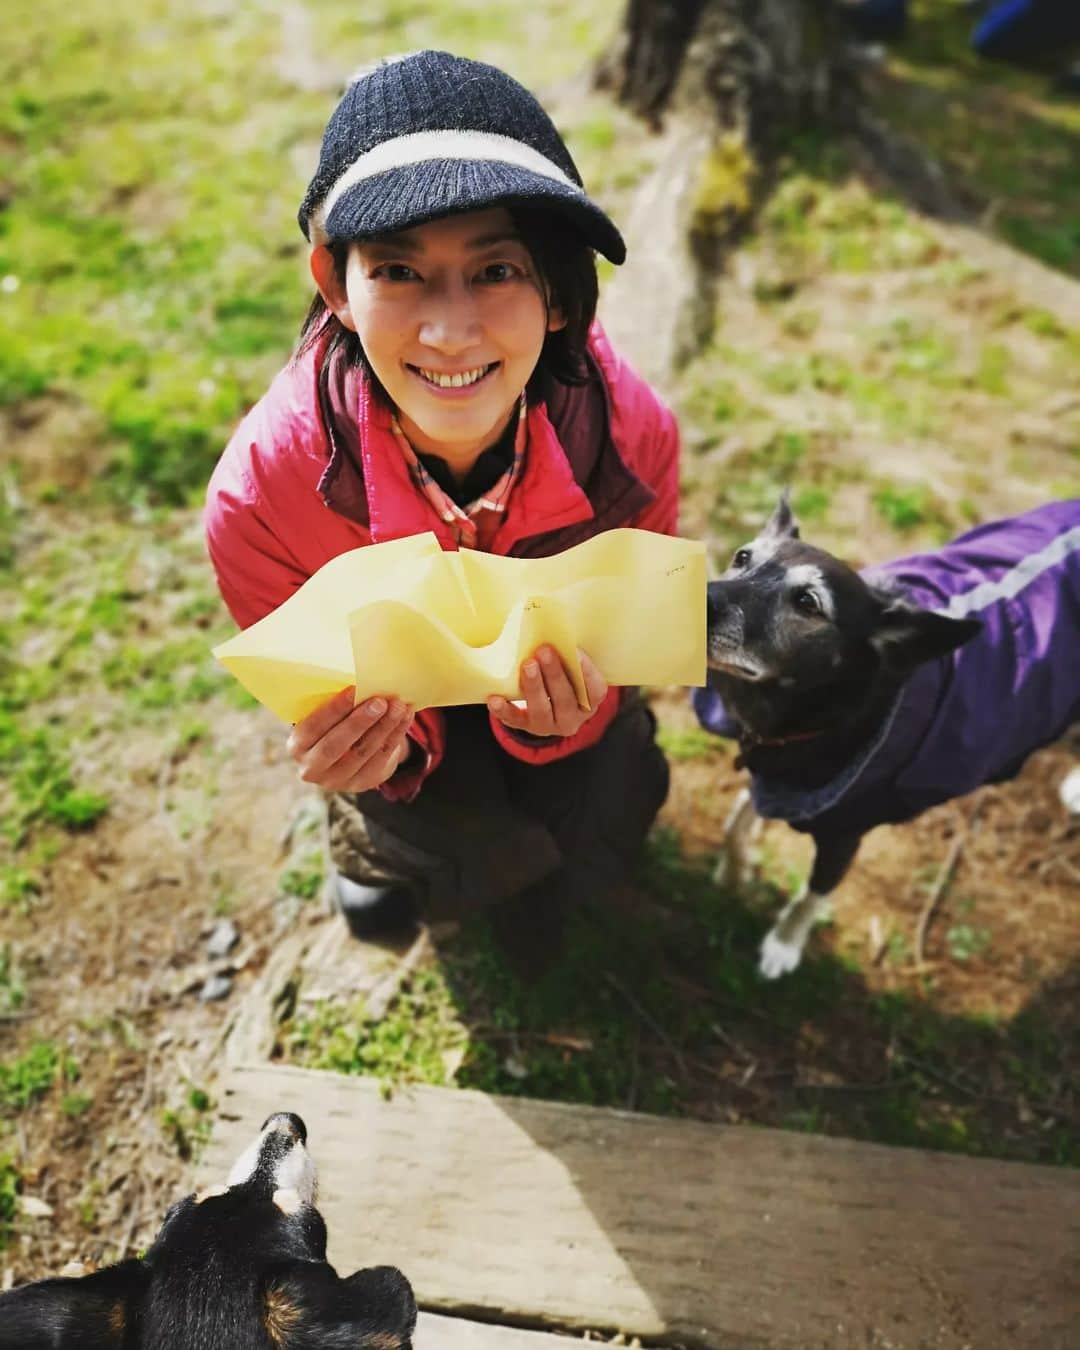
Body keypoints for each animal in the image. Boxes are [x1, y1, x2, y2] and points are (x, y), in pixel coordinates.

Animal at [696, 491, 1074, 977]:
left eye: (808, 602)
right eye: (743, 557)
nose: (698, 599)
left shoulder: (845, 833)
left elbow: (812, 895)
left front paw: (783, 945)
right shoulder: (769, 772)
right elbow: (737, 819)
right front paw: (733, 872)